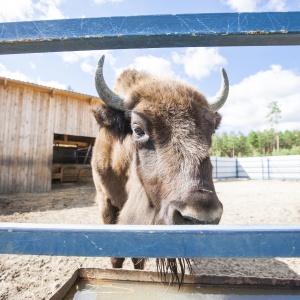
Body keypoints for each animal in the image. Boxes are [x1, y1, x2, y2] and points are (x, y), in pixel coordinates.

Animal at [91, 55, 230, 284]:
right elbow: (116, 256)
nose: (201, 218)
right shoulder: (106, 203)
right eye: (138, 129)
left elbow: (137, 258)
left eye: (210, 131)